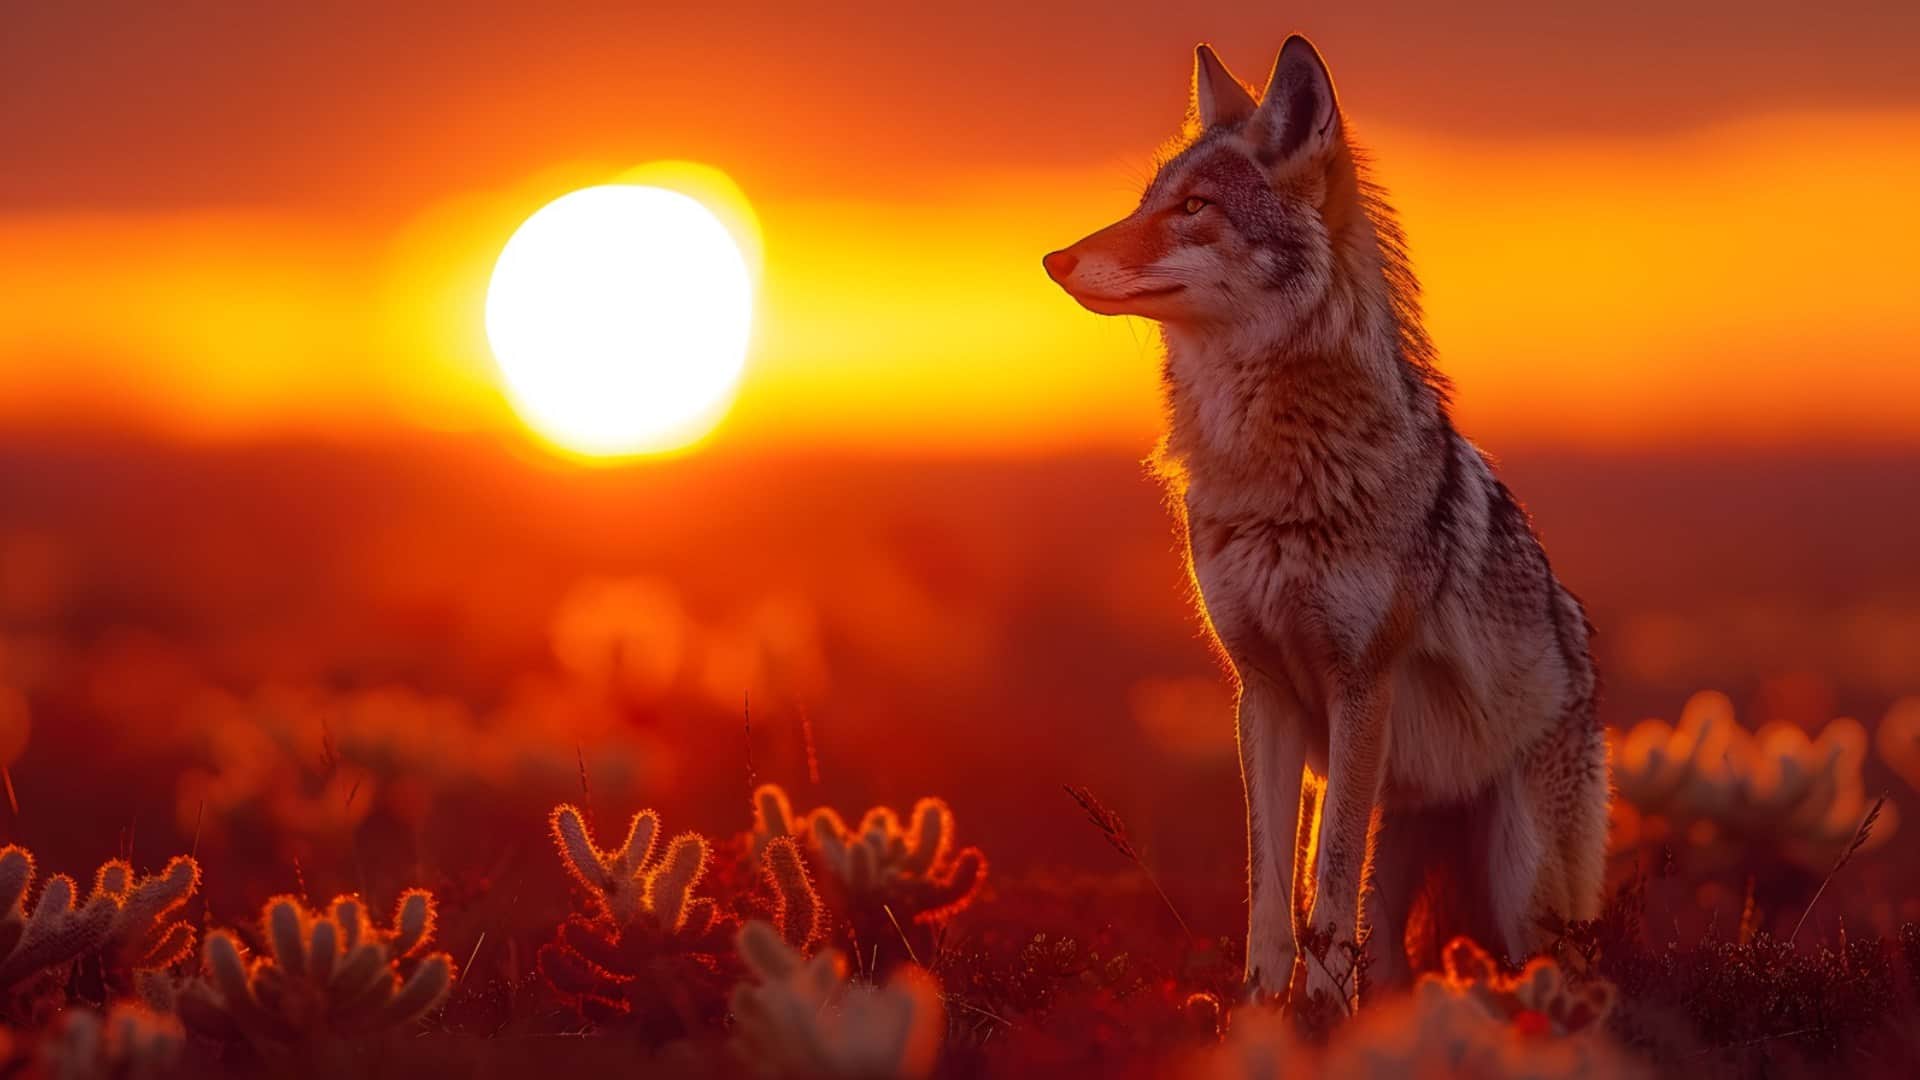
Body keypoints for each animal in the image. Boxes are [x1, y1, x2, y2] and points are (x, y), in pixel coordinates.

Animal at [1042, 35, 1608, 1005]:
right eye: (1147, 202)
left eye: (1194, 208)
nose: (1054, 260)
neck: (1274, 474)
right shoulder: (1262, 691)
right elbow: (1272, 885)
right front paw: (1261, 1010)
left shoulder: (1360, 685)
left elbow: (1328, 875)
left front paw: (1316, 1010)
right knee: (1394, 953)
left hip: (1522, 890)